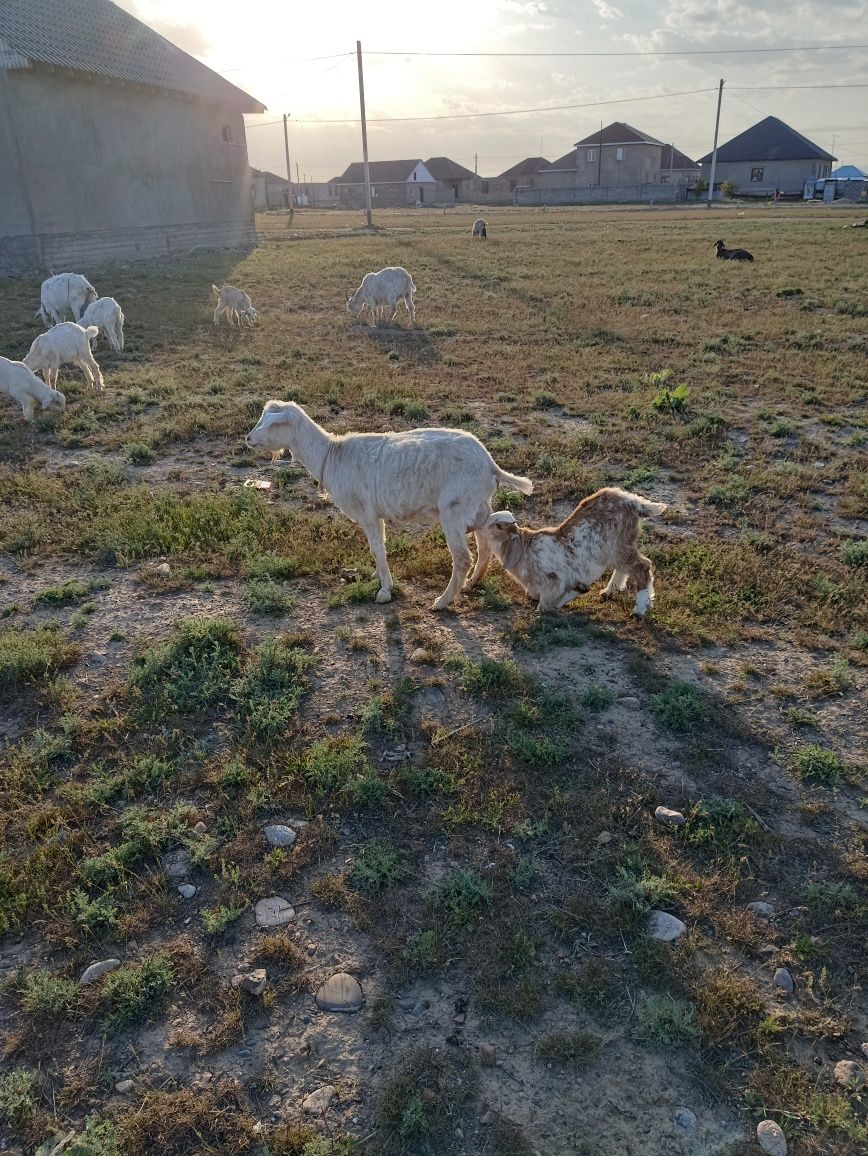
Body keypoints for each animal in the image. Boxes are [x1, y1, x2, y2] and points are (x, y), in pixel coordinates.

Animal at [247, 399, 533, 610]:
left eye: (272, 424)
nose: (248, 439)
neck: (331, 454)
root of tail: (489, 464)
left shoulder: (367, 513)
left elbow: (376, 548)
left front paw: (385, 590)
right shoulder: (377, 514)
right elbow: (381, 548)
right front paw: (379, 577)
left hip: (454, 508)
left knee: (463, 557)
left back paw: (442, 601)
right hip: (477, 504)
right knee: (484, 543)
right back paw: (472, 583)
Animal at [471, 485, 670, 619]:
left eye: (497, 525)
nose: (478, 524)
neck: (526, 550)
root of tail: (632, 502)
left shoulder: (553, 582)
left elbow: (544, 606)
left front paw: (578, 590)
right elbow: (533, 596)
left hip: (618, 547)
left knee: (643, 567)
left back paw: (638, 611)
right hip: (618, 549)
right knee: (625, 568)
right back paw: (608, 592)